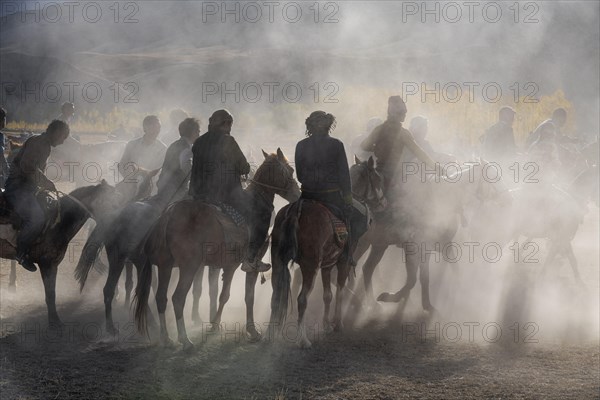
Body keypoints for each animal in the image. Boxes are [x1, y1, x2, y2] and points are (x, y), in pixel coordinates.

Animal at [0, 181, 119, 324]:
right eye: (111, 202)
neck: (56, 222)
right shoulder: (47, 264)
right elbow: (50, 294)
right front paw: (55, 322)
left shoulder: (54, 265)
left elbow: (52, 293)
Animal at [133, 148, 298, 348]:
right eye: (290, 170)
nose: (297, 193)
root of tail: (168, 215)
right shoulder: (243, 265)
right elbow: (240, 296)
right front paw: (248, 329)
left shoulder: (221, 266)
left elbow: (220, 294)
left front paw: (215, 324)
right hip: (188, 267)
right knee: (178, 298)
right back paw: (185, 339)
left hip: (166, 266)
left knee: (161, 298)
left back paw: (166, 338)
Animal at [270, 155, 386, 348]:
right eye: (377, 179)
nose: (384, 202)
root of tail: (296, 211)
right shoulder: (343, 261)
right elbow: (339, 289)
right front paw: (337, 323)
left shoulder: (327, 264)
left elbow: (327, 295)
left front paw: (326, 324)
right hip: (310, 267)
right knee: (302, 299)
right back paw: (303, 340)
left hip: (278, 262)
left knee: (276, 296)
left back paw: (268, 335)